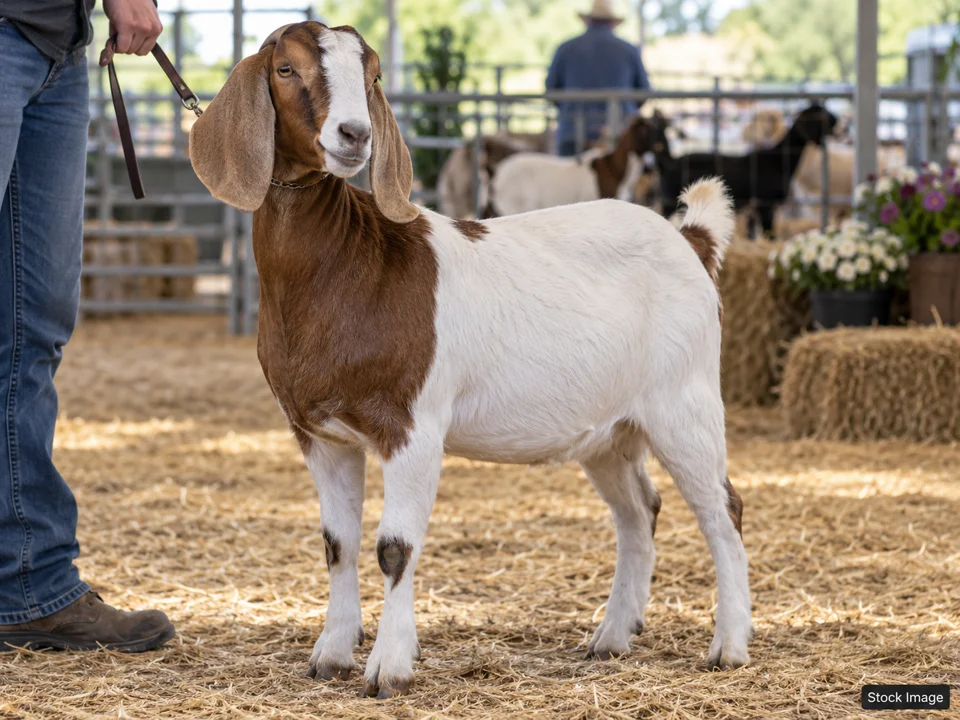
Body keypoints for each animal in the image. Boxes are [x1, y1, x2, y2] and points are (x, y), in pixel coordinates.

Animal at [651, 105, 837, 235]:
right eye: (827, 118)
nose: (841, 124)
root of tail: (669, 162)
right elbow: (770, 234)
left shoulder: (755, 212)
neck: (777, 160)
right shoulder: (764, 205)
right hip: (669, 201)